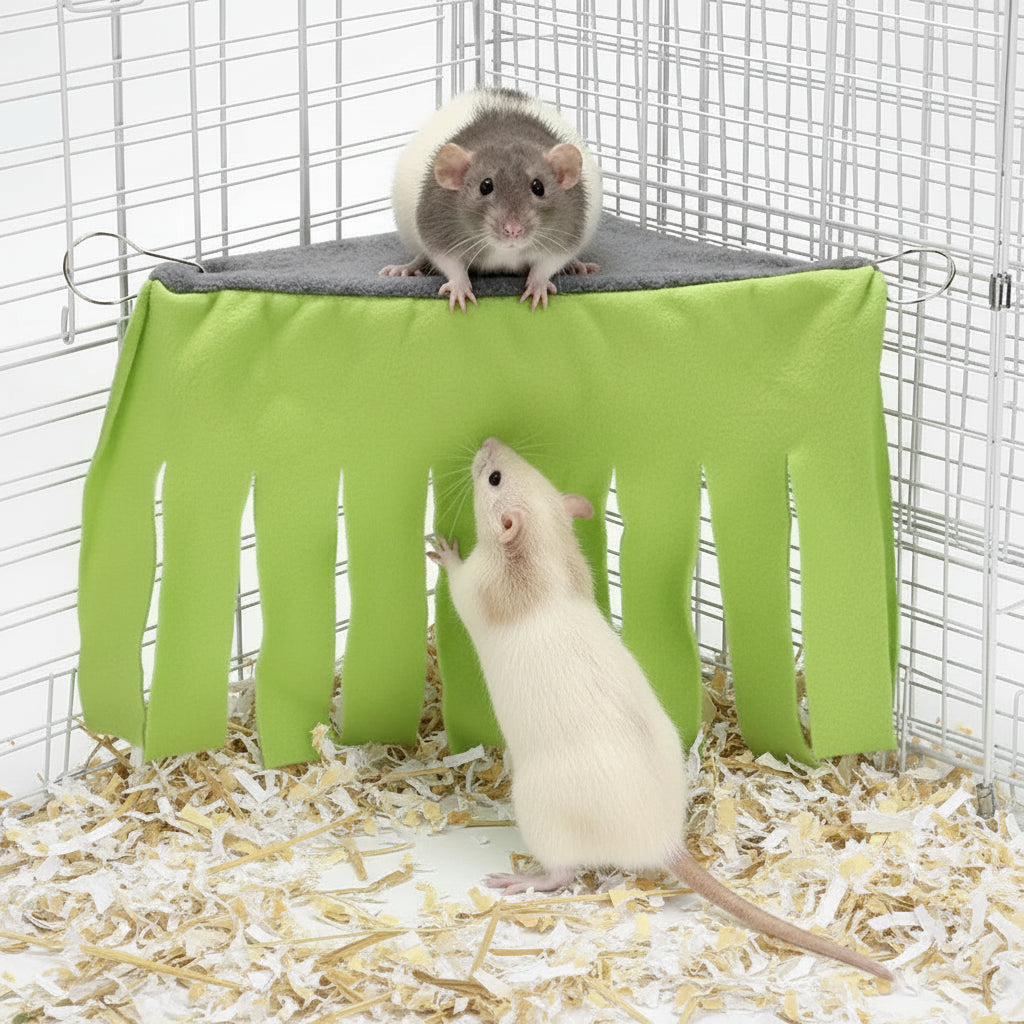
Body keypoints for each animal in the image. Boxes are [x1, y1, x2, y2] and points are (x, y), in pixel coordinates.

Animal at [380, 88, 603, 311]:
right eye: (485, 186)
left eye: (538, 187)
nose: (513, 230)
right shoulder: (438, 223)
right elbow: (447, 260)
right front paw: (459, 286)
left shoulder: (568, 228)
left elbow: (552, 260)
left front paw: (538, 284)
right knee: (422, 255)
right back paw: (407, 268)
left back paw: (577, 265)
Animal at [428, 438, 895, 982]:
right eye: (529, 471)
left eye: (494, 478)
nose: (489, 444)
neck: (549, 551)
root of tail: (663, 842)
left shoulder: (482, 586)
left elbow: (461, 586)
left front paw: (445, 551)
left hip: (541, 810)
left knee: (563, 872)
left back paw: (527, 881)